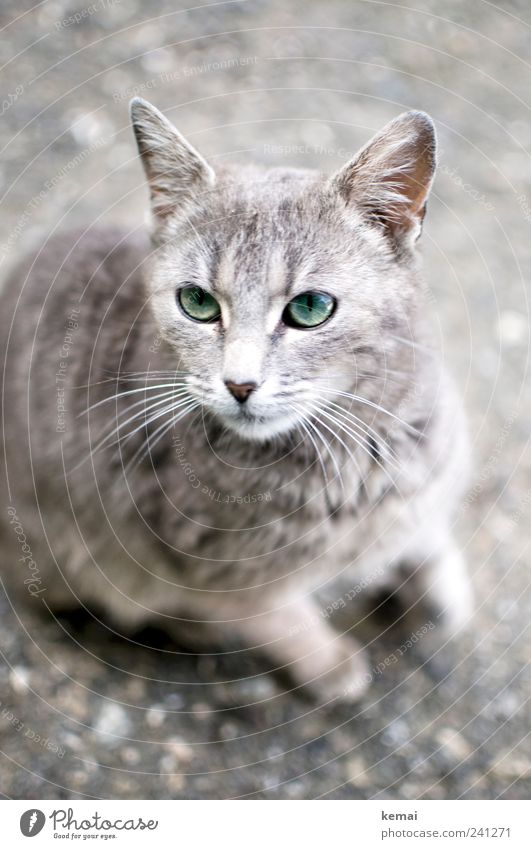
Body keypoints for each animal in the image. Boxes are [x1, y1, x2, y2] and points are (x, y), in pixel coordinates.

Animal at [0, 96, 474, 700]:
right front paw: (330, 664)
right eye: (198, 302)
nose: (239, 384)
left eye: (311, 308)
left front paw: (444, 589)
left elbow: (428, 531)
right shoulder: (212, 567)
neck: (351, 455)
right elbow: (273, 615)